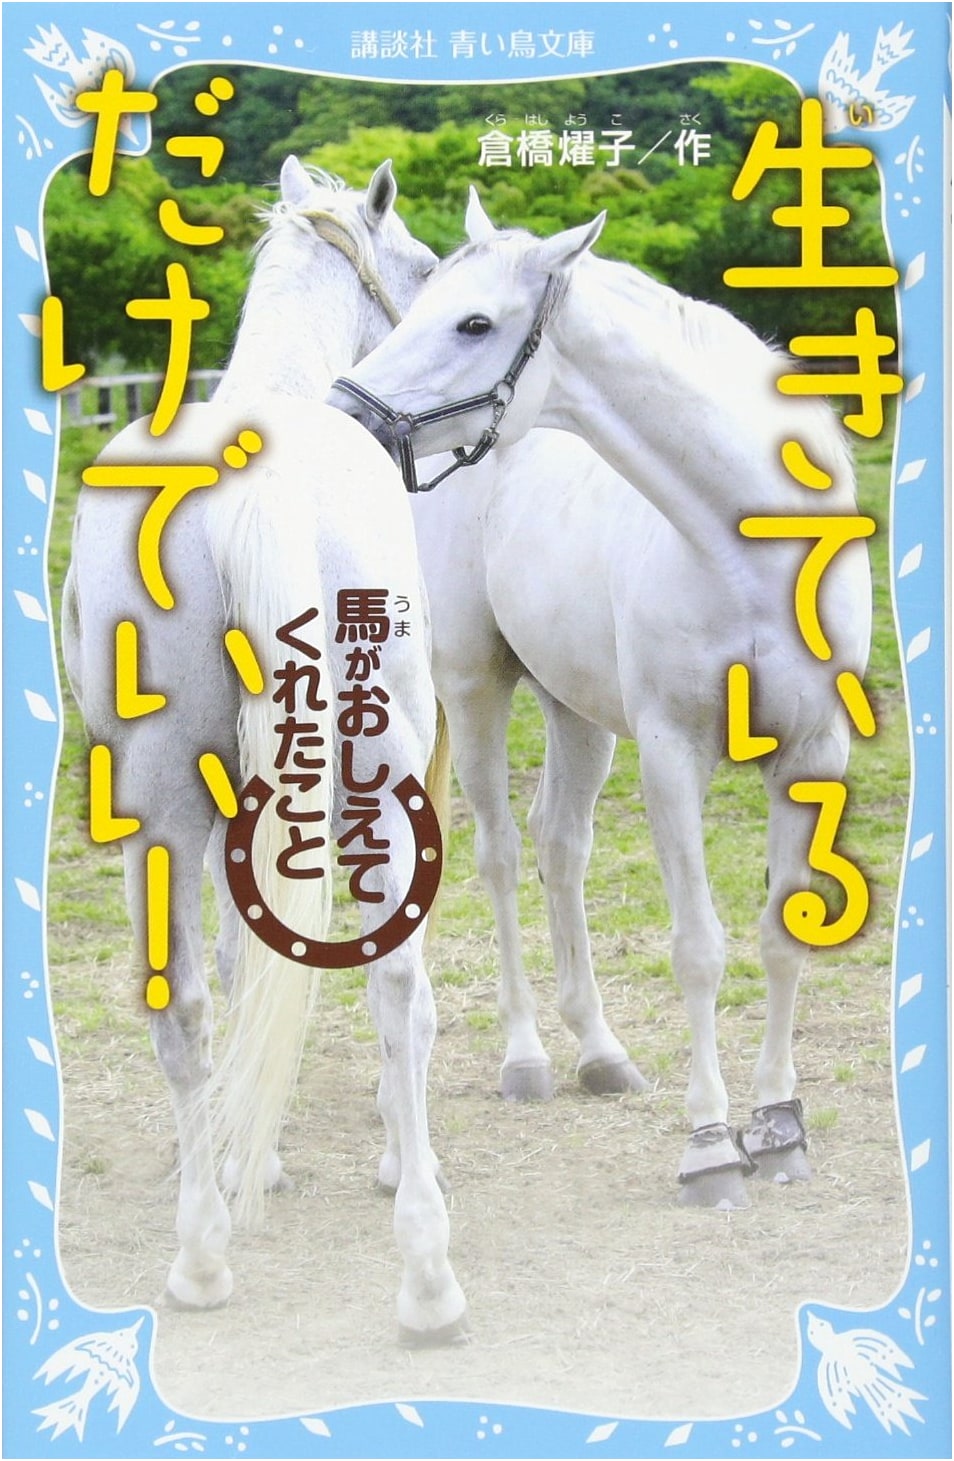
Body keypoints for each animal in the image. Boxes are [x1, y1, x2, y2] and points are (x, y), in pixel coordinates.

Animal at [60, 157, 469, 1343]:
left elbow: (247, 964)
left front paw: (252, 1157)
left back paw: (202, 1255)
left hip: (159, 801)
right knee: (394, 981)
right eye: (426, 270)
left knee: (185, 1003)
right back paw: (425, 1274)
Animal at [329, 193, 873, 1208]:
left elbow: (781, 937)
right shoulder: (671, 751)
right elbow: (699, 948)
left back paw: (600, 1050)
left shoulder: (814, 751)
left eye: (474, 323)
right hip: (479, 686)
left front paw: (780, 1130)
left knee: (561, 847)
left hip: (576, 713)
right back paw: (528, 1057)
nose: (346, 419)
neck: (751, 547)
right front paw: (711, 1145)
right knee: (504, 856)